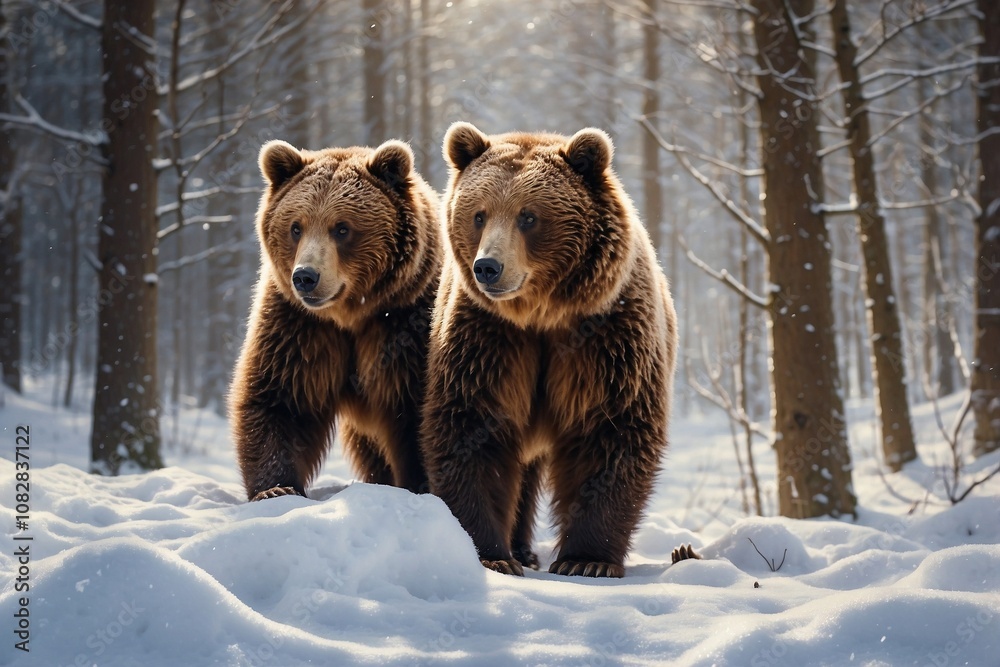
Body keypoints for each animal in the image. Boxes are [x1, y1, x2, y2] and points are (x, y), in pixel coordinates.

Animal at [231, 138, 441, 502]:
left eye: (342, 228)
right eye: (296, 227)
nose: (305, 277)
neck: (350, 314)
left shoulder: (406, 322)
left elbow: (415, 408)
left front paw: (420, 485)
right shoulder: (300, 325)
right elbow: (280, 397)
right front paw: (275, 488)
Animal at [419, 122, 678, 578]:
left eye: (528, 216)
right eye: (479, 214)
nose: (488, 267)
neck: (540, 315)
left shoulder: (606, 338)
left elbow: (609, 430)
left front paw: (587, 559)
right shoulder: (488, 338)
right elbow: (472, 425)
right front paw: (491, 552)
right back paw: (519, 549)